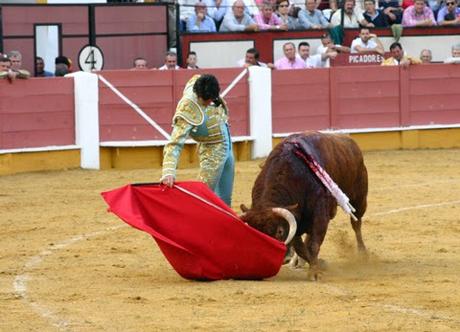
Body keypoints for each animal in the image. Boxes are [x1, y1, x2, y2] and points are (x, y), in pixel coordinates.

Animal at [241, 131, 366, 278]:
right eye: (257, 234)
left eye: (280, 231)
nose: (283, 259)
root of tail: (349, 140)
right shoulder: (297, 219)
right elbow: (301, 247)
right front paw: (317, 266)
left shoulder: (319, 213)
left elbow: (313, 245)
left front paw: (313, 272)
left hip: (359, 197)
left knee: (356, 224)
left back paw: (363, 253)